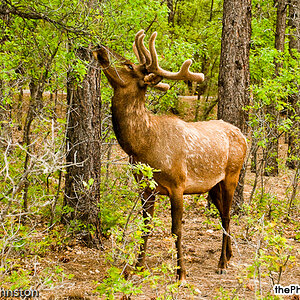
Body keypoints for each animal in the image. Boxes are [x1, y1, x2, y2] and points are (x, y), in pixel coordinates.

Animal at [93, 30, 246, 282]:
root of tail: (244, 136)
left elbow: (176, 229)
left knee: (226, 215)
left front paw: (181, 273)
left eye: (128, 64)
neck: (143, 146)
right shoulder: (146, 187)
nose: (99, 47)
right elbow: (146, 226)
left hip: (232, 173)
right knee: (225, 214)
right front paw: (137, 267)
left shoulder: (178, 184)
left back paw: (222, 263)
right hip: (213, 185)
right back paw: (230, 255)